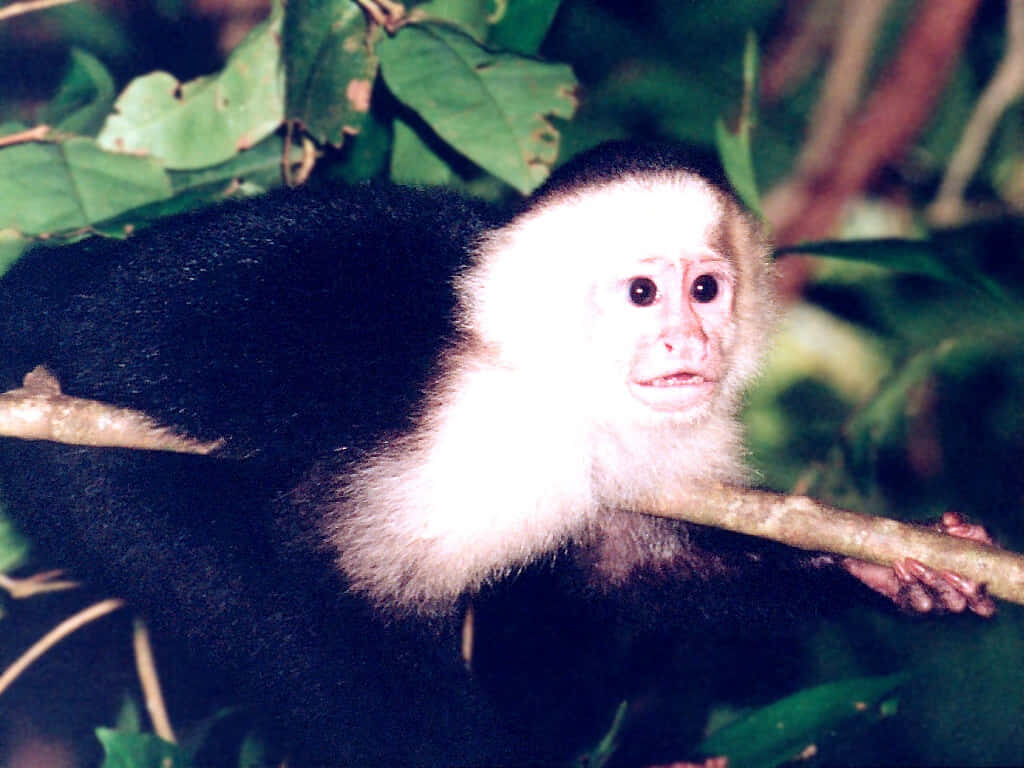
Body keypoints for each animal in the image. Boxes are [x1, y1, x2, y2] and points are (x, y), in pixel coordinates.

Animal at [0, 141, 994, 765]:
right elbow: (323, 600)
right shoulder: (480, 440)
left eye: (707, 290)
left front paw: (891, 573)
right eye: (644, 294)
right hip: (84, 467)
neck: (540, 376)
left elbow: (626, 568)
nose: (690, 345)